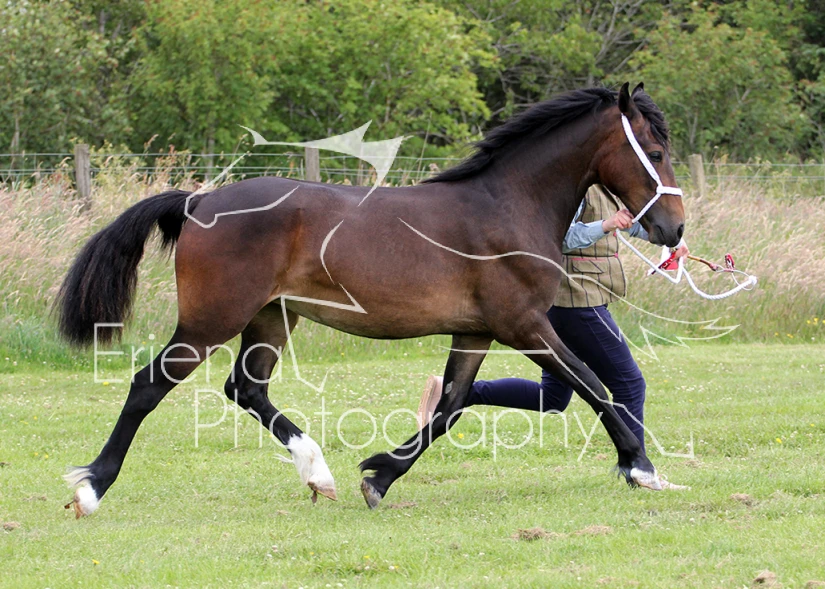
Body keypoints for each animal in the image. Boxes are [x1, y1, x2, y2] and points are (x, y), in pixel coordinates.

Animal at [57, 82, 684, 517]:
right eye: (654, 148)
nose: (673, 228)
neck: (507, 204)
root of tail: (198, 202)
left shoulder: (477, 330)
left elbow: (451, 406)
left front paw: (377, 476)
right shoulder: (525, 326)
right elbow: (596, 386)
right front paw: (641, 467)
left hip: (271, 316)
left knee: (247, 388)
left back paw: (318, 473)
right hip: (213, 319)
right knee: (149, 385)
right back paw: (92, 487)